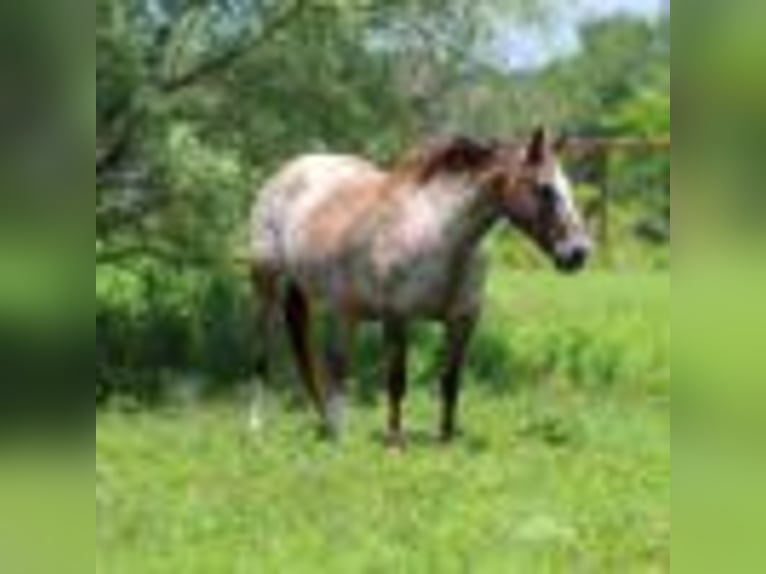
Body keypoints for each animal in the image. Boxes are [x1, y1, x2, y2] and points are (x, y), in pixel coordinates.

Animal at [248, 127, 592, 446]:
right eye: (544, 189)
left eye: (567, 187)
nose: (577, 253)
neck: (439, 232)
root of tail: (290, 170)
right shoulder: (396, 317)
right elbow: (396, 380)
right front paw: (396, 442)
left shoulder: (463, 320)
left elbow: (450, 380)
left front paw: (446, 439)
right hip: (266, 284)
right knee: (264, 356)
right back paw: (258, 426)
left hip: (346, 309)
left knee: (336, 367)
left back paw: (334, 431)